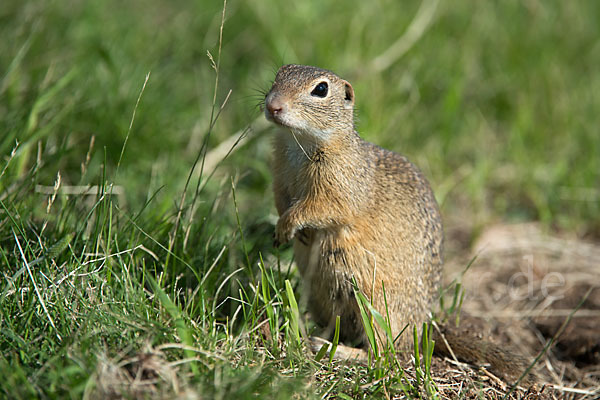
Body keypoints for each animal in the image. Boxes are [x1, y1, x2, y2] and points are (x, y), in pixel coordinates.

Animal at [264, 63, 532, 384]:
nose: (272, 105)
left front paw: (290, 225)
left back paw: (333, 349)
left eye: (321, 89)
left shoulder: (341, 185)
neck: (299, 142)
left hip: (378, 305)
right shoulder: (279, 174)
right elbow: (280, 199)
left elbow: (320, 207)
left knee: (383, 353)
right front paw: (284, 231)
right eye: (279, 74)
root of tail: (421, 329)